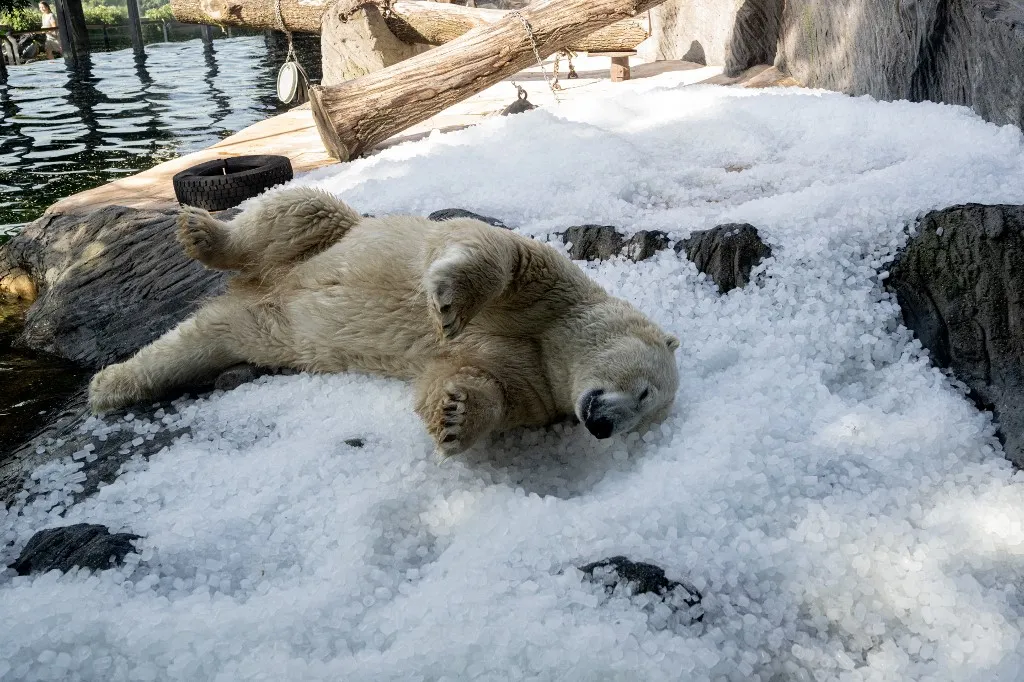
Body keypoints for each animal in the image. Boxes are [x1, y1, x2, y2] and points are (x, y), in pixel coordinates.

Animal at [88, 187, 680, 456]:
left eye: (642, 416)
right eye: (646, 391)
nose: (603, 425)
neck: (552, 341)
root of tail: (259, 286)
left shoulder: (537, 385)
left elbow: (478, 382)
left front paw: (455, 417)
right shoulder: (554, 288)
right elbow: (499, 256)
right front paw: (448, 305)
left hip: (263, 331)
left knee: (201, 341)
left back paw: (111, 385)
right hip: (329, 237)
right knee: (292, 214)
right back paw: (203, 234)